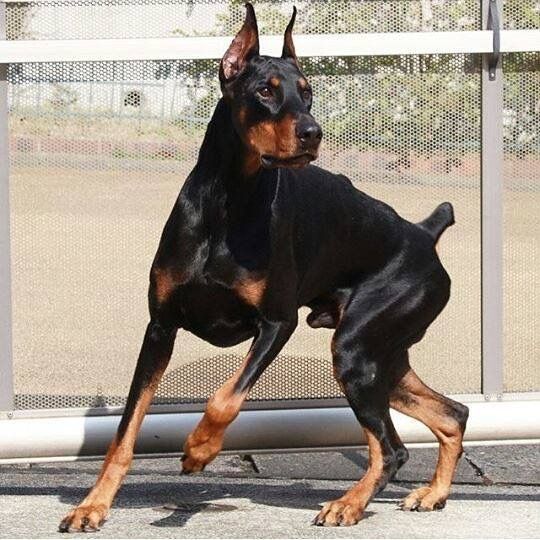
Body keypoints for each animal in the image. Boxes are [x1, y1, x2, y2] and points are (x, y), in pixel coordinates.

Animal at [60, 4, 468, 532]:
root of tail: (423, 232)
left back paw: (349, 504)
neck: (228, 204)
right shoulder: (160, 327)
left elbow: (226, 397)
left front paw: (199, 449)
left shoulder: (277, 323)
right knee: (452, 414)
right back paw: (431, 494)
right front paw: (92, 506)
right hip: (380, 358)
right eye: (266, 91)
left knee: (393, 448)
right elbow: (125, 431)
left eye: (308, 91)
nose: (313, 132)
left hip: (357, 352)